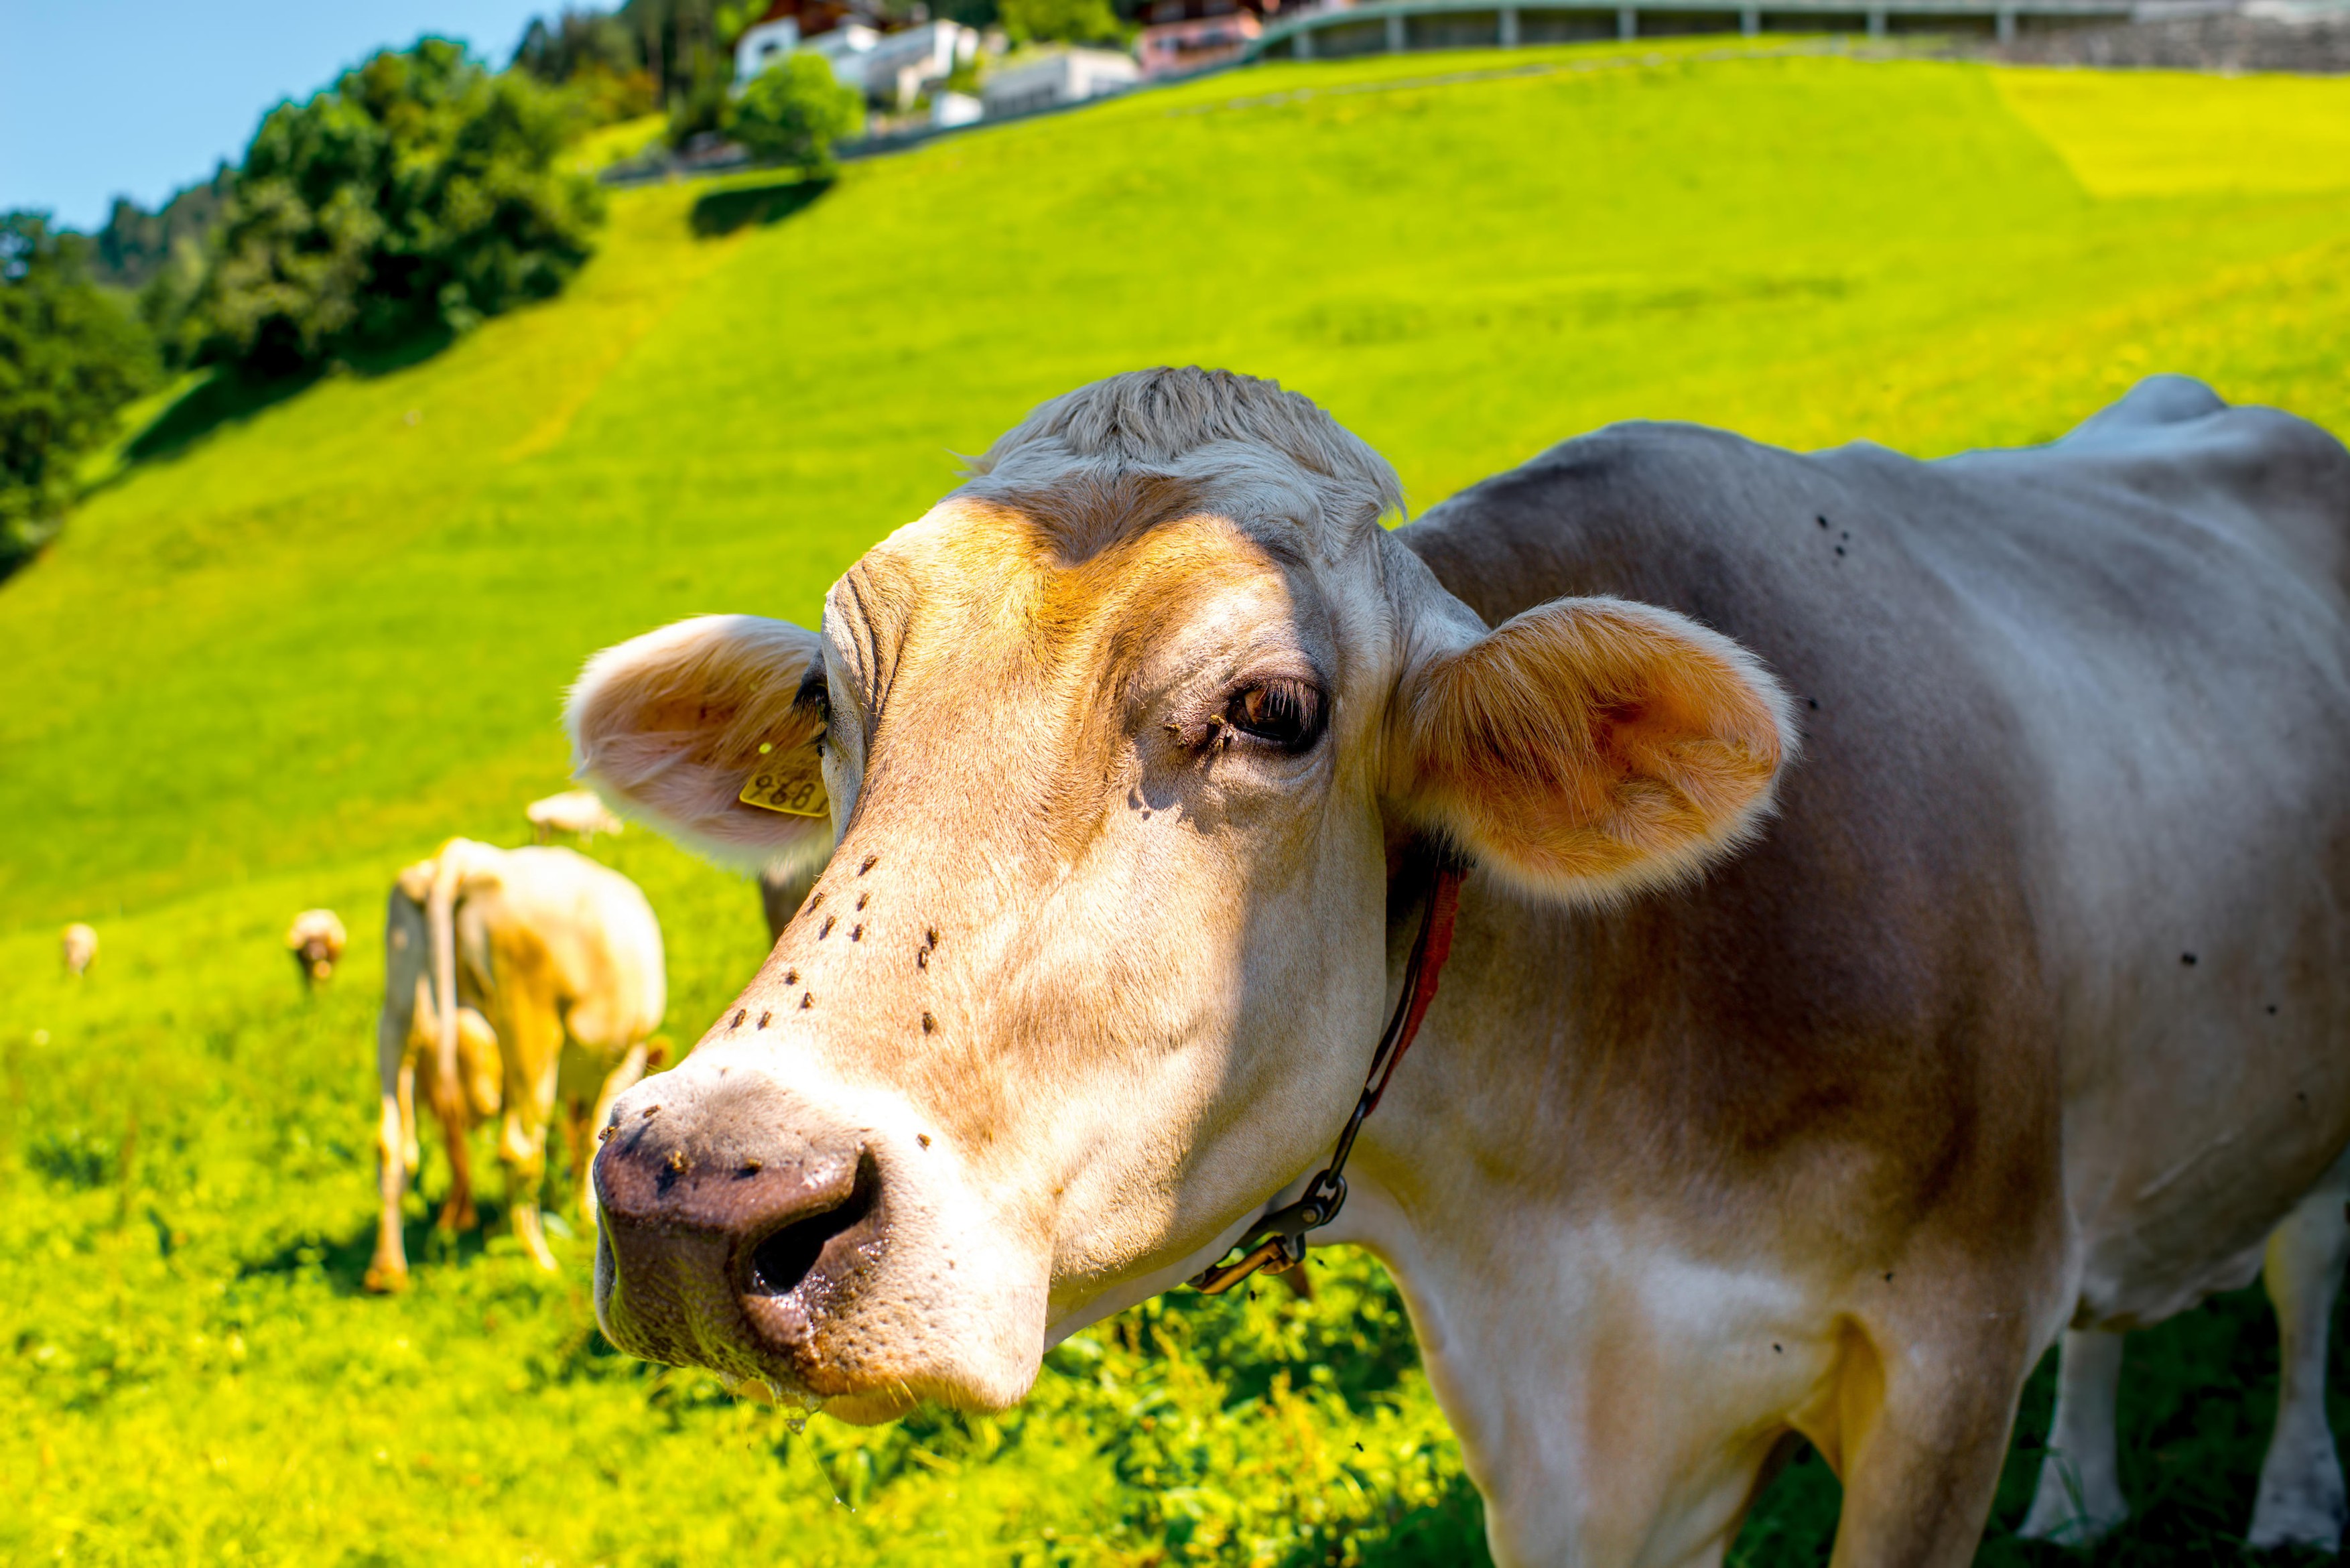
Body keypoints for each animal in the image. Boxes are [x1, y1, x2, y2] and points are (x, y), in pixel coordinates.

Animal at [365, 838, 668, 1293]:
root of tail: (462, 858)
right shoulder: (626, 1057)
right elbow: (596, 1139)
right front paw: (586, 1217)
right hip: (531, 1031)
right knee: (519, 1148)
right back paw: (538, 1260)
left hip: (397, 1025)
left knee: (392, 1146)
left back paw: (387, 1271)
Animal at [562, 368, 2349, 1565]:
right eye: (825, 702)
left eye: (1271, 709)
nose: (699, 1189)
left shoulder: (1950, 1358)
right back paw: (2082, 1494)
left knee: (2302, 1274)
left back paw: (2290, 1499)